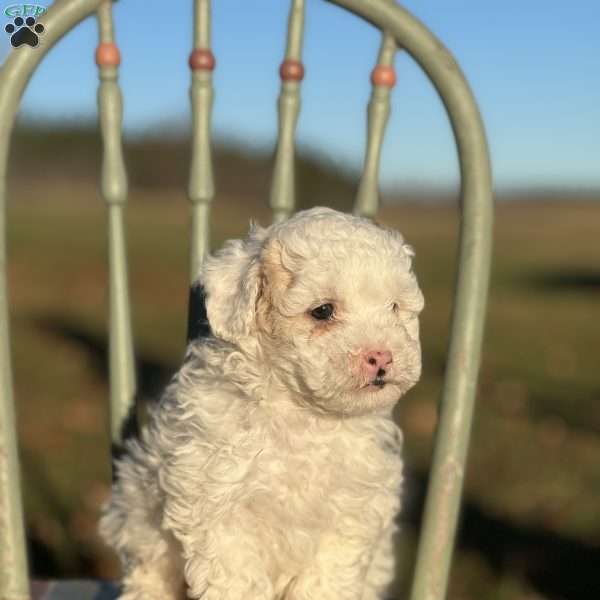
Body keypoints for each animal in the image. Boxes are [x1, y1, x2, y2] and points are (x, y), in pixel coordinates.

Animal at [99, 206, 422, 600]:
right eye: (323, 311)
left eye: (394, 308)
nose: (382, 356)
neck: (303, 415)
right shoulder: (219, 508)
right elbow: (234, 580)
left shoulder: (350, 516)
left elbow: (326, 578)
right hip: (139, 515)